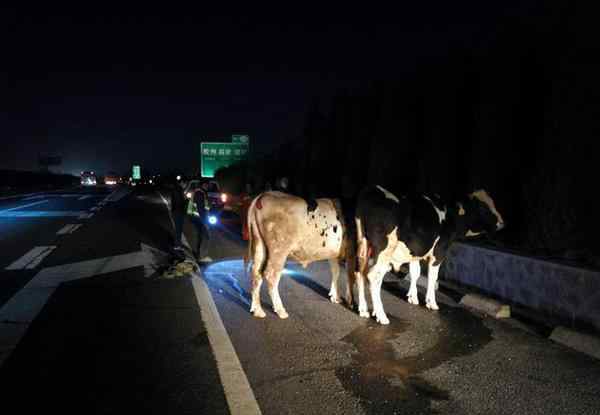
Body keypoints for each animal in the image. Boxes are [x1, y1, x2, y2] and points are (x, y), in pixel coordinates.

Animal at [354, 185, 504, 324]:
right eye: (483, 208)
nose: (501, 223)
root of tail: (371, 192)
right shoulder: (439, 252)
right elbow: (433, 277)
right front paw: (431, 302)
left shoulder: (414, 252)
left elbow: (415, 273)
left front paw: (412, 297)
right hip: (383, 251)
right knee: (373, 276)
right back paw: (381, 316)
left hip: (362, 248)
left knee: (360, 273)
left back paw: (364, 310)